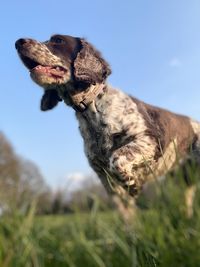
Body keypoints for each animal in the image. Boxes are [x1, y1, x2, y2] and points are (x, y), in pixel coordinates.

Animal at [15, 34, 200, 217]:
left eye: (58, 40)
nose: (18, 42)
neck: (92, 110)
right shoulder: (103, 176)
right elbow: (126, 214)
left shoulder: (150, 139)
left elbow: (117, 159)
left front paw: (134, 184)